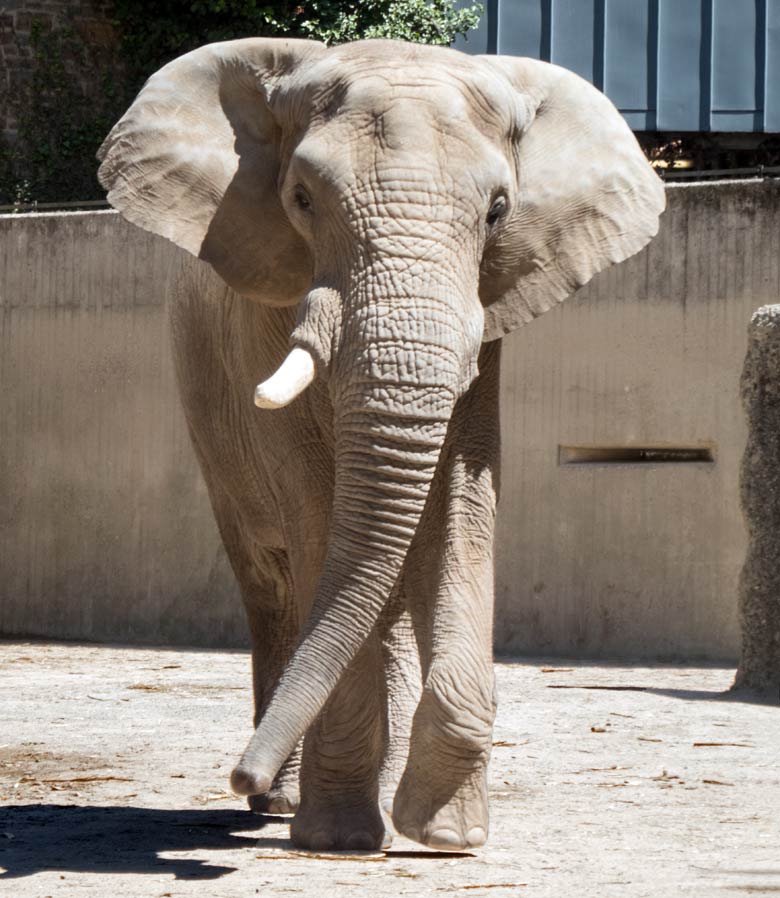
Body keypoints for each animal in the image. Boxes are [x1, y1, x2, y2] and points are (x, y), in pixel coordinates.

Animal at [94, 33, 660, 848]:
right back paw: (288, 806)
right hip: (204, 404)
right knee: (277, 582)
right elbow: (319, 510)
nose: (240, 774)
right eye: (301, 200)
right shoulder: (267, 314)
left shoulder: (486, 324)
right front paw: (338, 840)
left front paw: (445, 834)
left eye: (498, 212)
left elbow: (460, 509)